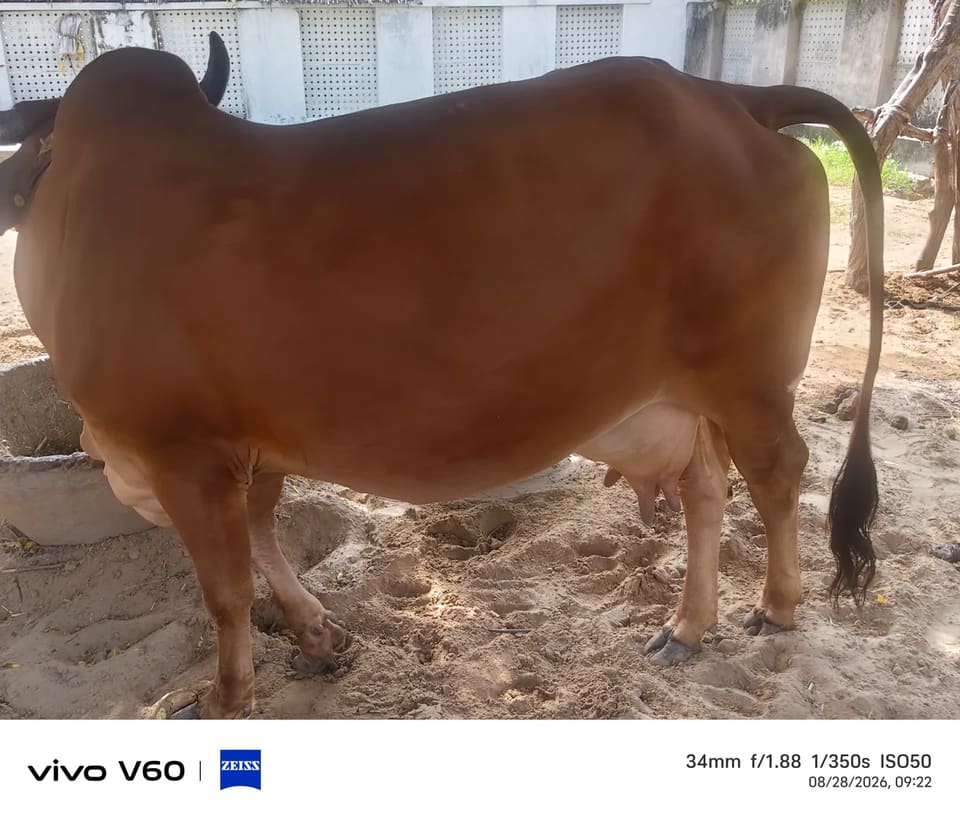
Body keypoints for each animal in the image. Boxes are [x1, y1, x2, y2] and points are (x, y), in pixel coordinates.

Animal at [0, 37, 883, 719]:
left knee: (779, 475)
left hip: (751, 381)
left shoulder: (184, 453)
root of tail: (732, 96)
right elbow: (265, 547)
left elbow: (225, 590)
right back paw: (688, 627)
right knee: (707, 487)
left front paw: (224, 698)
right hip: (684, 395)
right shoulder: (249, 450)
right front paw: (318, 636)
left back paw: (776, 607)